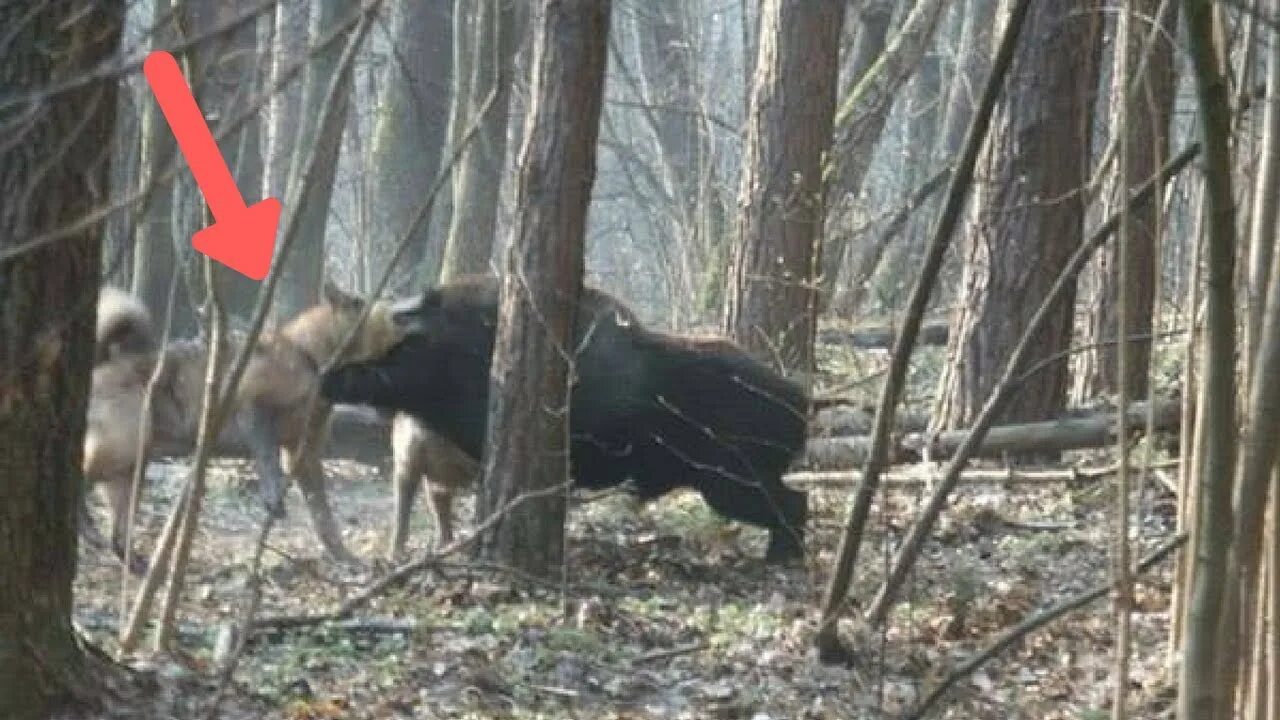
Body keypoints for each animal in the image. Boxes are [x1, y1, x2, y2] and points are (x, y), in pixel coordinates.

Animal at [83, 280, 401, 566]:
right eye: (361, 303)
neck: (308, 355)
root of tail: (101, 364)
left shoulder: (305, 456)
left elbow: (324, 519)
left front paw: (345, 557)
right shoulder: (253, 407)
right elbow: (267, 460)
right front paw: (273, 498)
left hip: (129, 471)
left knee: (116, 537)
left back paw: (133, 562)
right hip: (123, 449)